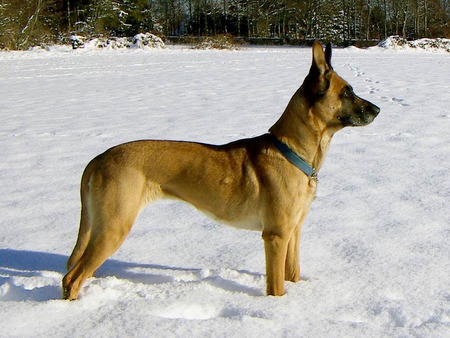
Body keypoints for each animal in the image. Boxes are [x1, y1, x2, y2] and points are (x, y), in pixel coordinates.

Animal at [62, 41, 380, 300]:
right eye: (347, 91)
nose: (377, 110)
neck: (293, 152)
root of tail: (98, 158)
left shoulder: (294, 231)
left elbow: (293, 273)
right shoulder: (275, 236)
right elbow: (276, 286)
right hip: (114, 226)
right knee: (73, 278)